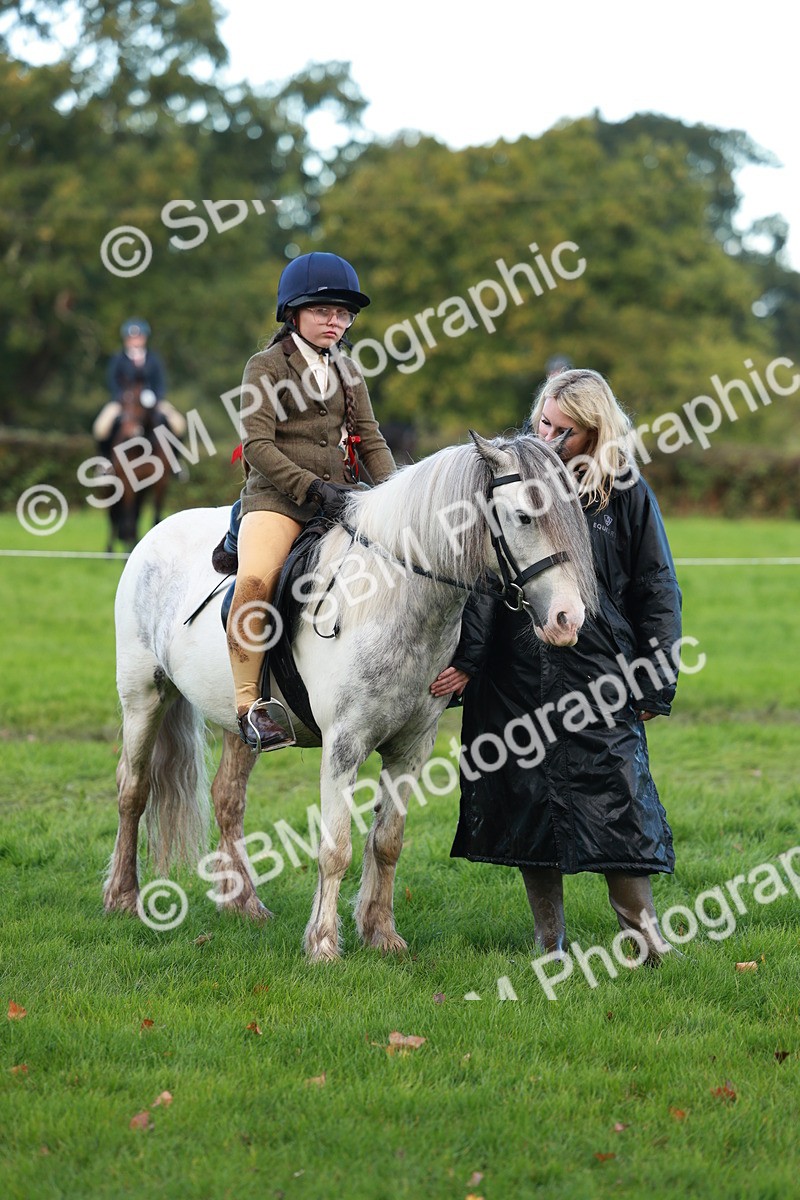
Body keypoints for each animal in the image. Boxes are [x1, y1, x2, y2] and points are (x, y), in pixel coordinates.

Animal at [103, 431, 598, 961]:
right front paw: (323, 944)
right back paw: (123, 896)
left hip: (242, 724)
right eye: (524, 516)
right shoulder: (344, 746)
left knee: (228, 799)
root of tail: (156, 534)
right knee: (132, 791)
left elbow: (387, 842)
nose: (568, 619)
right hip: (143, 697)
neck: (392, 596)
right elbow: (335, 846)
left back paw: (244, 905)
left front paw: (381, 934)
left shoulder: (410, 748)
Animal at [106, 381, 172, 553]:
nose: (130, 432)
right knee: (115, 516)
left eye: (139, 403)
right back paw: (110, 549)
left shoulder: (160, 483)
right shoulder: (128, 483)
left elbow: (155, 516)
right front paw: (127, 549)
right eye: (122, 402)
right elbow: (128, 518)